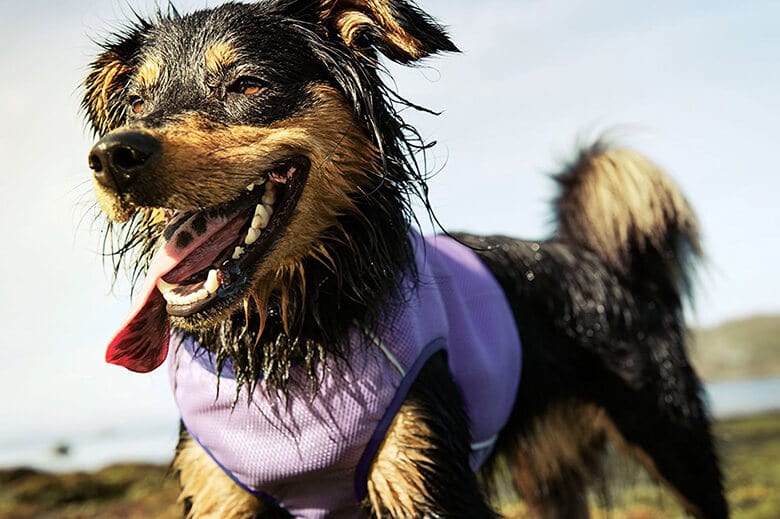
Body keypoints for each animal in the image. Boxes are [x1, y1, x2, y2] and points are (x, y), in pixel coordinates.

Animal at [85, 2, 732, 516]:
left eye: (246, 84)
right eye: (135, 102)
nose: (113, 156)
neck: (290, 340)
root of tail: (596, 260)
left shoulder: (422, 472)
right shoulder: (219, 490)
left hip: (672, 437)